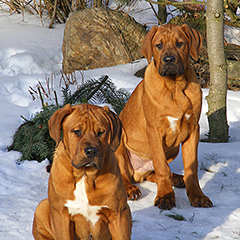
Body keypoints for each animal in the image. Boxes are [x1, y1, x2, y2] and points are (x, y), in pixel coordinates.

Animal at [32, 104, 131, 240]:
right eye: (77, 131)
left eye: (101, 132)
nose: (91, 151)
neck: (85, 175)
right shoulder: (61, 215)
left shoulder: (119, 213)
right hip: (42, 208)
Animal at [115, 23, 213, 210]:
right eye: (158, 45)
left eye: (180, 43)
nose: (168, 60)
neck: (175, 86)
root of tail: (136, 174)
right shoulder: (154, 131)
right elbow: (161, 167)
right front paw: (165, 197)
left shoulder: (192, 129)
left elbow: (191, 168)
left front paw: (197, 196)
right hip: (117, 141)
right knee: (122, 175)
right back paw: (131, 189)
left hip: (172, 149)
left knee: (150, 173)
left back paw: (178, 178)